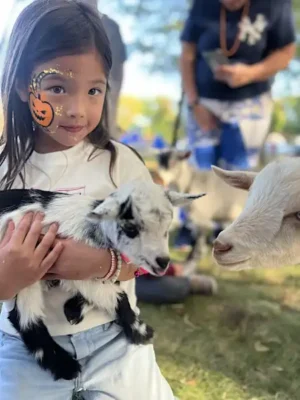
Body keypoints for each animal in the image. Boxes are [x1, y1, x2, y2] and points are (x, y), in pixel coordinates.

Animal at [0, 181, 204, 382]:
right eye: (131, 229)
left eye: (166, 229)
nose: (162, 262)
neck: (94, 228)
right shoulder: (75, 267)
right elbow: (118, 295)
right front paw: (142, 332)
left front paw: (74, 309)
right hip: (24, 270)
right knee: (24, 318)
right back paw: (66, 367)